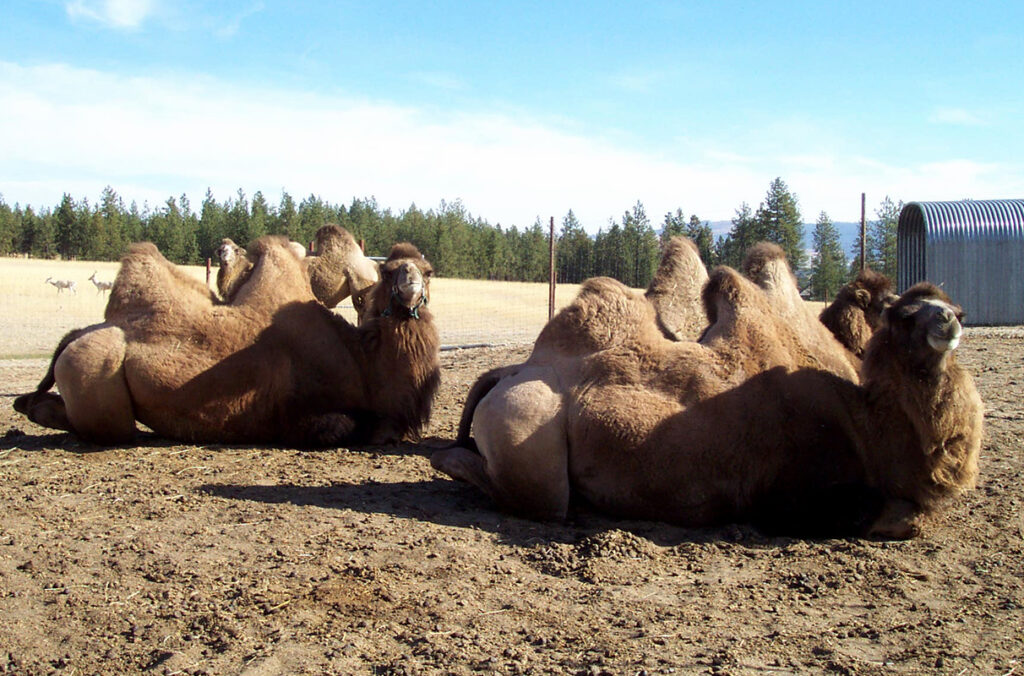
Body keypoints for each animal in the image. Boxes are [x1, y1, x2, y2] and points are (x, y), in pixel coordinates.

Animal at [14, 237, 440, 447]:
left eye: (428, 271)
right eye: (387, 271)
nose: (409, 284)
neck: (362, 363)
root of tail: (76, 336)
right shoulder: (298, 410)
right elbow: (340, 425)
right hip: (94, 377)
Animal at [433, 240, 983, 538]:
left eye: (952, 304)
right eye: (903, 313)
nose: (952, 320)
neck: (865, 422)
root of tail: (514, 370)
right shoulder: (792, 496)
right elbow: (903, 518)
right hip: (529, 441)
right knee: (527, 493)